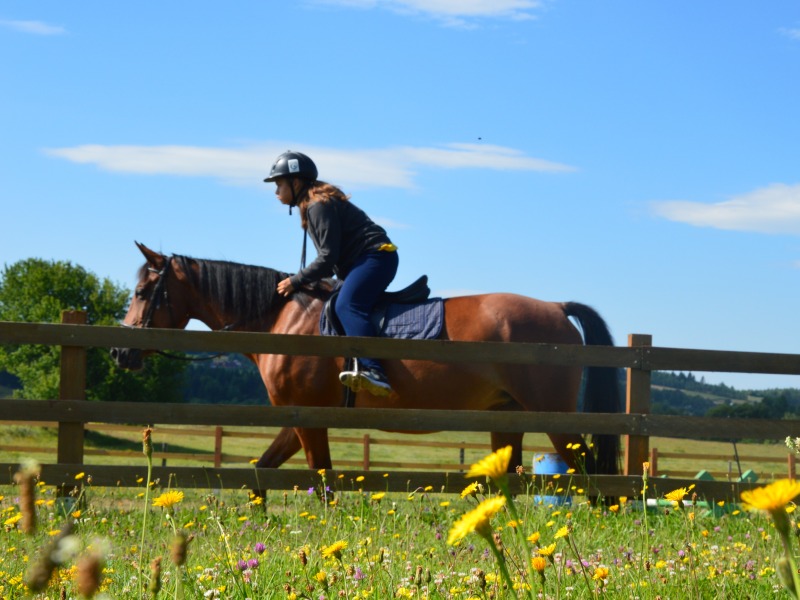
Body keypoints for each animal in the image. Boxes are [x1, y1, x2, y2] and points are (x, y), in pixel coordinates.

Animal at [111, 241, 624, 480]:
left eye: (142, 292)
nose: (120, 350)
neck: (283, 316)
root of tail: (556, 307)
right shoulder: (298, 418)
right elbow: (264, 469)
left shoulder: (310, 418)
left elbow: (323, 480)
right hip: (509, 418)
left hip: (554, 418)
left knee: (590, 473)